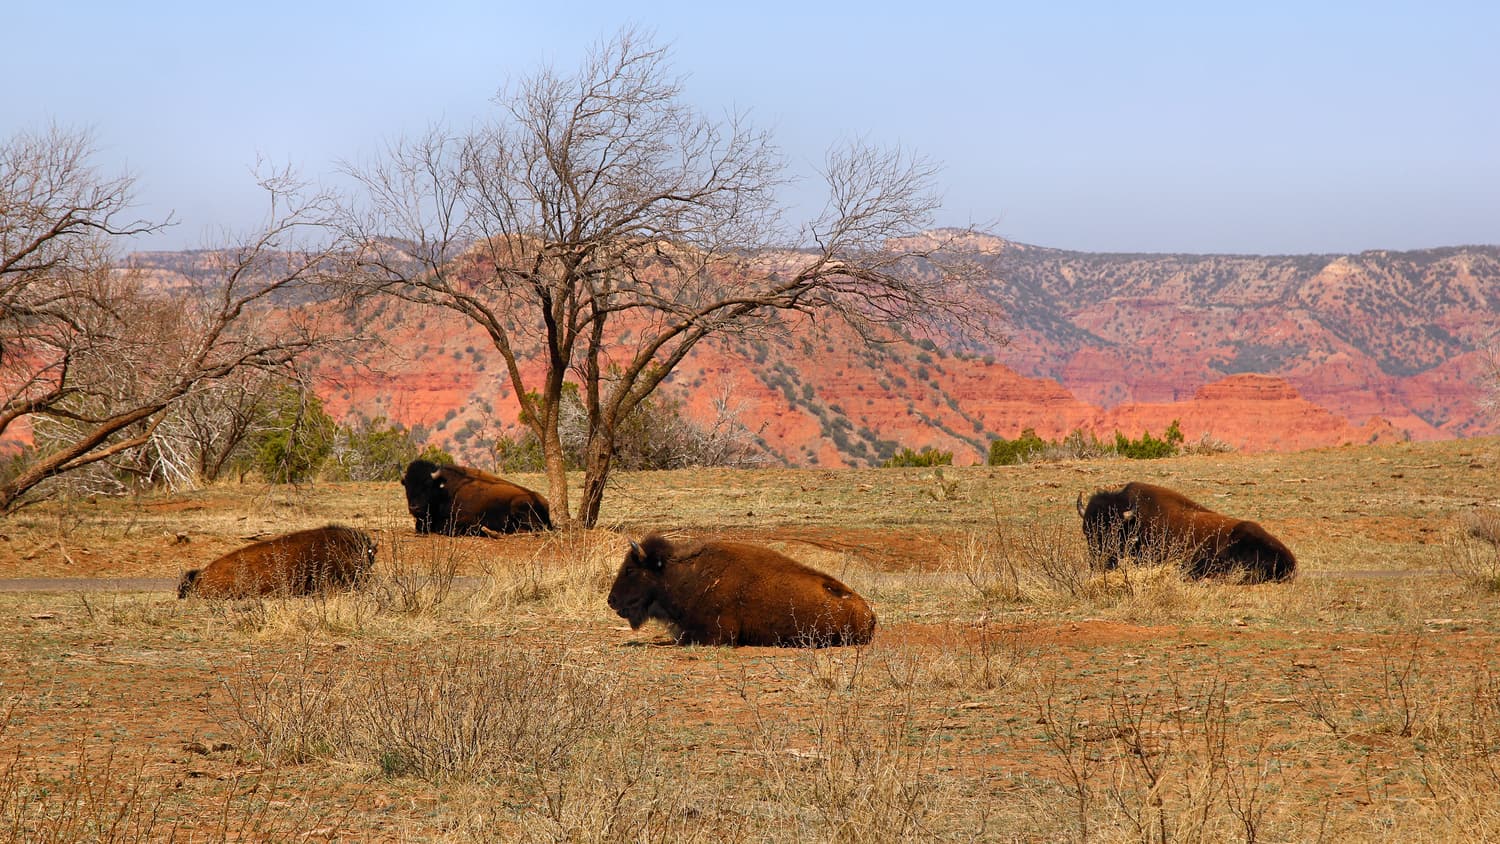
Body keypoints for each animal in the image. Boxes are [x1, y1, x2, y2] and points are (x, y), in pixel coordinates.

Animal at [401, 459, 552, 535]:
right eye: (407, 486)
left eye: (427, 485)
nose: (414, 507)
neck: (443, 490)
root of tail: (544, 502)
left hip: (518, 505)